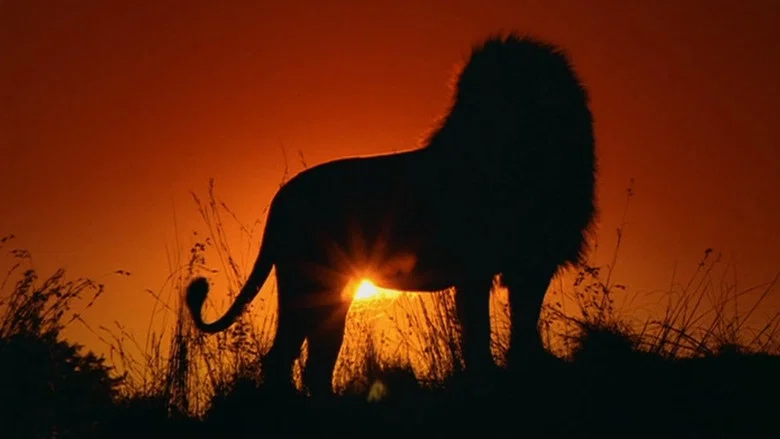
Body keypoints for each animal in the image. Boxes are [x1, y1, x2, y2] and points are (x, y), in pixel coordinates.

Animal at [186, 33, 597, 396]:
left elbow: (523, 328)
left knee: (315, 360)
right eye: (475, 102)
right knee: (285, 357)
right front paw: (487, 383)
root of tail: (281, 198)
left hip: (328, 290)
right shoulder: (475, 270)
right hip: (307, 281)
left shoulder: (534, 264)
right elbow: (478, 335)